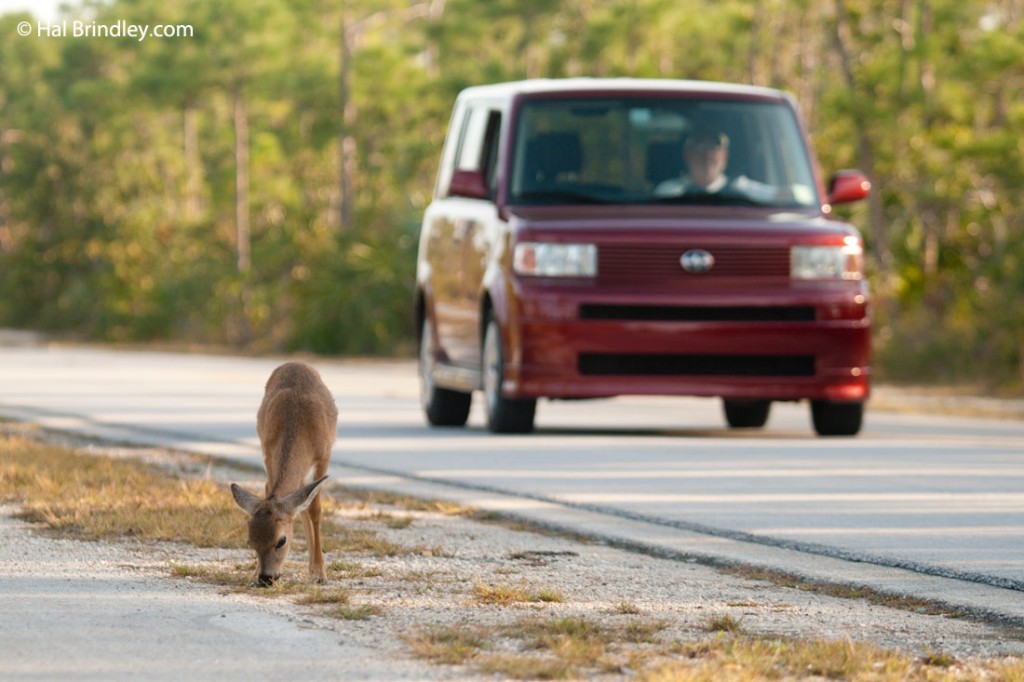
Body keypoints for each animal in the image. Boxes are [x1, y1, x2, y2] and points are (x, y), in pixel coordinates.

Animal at [230, 360, 337, 585]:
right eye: (250, 541)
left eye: (281, 540)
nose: (265, 578)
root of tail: (295, 362)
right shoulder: (269, 453)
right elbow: (275, 492)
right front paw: (253, 573)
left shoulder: (323, 457)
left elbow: (315, 509)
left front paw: (320, 572)